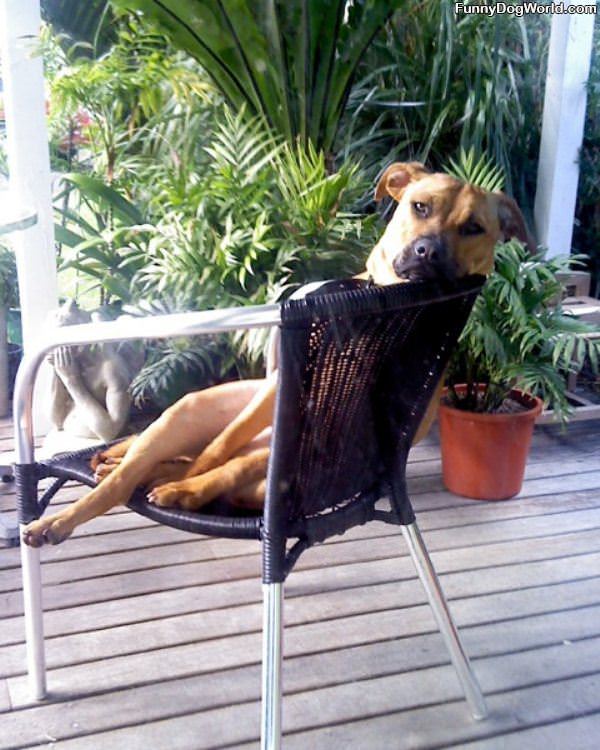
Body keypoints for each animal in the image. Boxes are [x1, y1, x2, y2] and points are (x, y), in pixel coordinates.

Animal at [22, 163, 528, 548]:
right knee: (143, 465)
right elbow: (218, 451)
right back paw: (84, 495)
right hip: (187, 414)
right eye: (420, 207)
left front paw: (185, 490)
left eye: (473, 228)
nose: (427, 252)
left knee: (175, 466)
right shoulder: (272, 402)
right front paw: (181, 479)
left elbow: (222, 467)